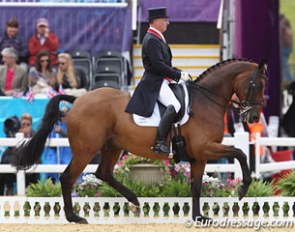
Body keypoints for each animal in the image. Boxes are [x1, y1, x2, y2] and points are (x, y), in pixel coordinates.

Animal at [10, 59, 268, 224]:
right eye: (257, 84)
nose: (254, 117)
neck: (205, 101)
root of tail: (78, 100)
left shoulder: (199, 156)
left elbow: (196, 186)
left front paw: (199, 217)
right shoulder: (206, 148)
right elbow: (239, 153)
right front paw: (243, 189)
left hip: (112, 147)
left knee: (103, 173)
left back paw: (134, 201)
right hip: (86, 149)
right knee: (67, 177)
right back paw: (74, 217)